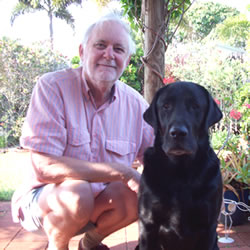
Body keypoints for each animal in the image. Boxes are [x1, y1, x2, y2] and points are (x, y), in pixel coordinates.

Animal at [137, 81, 223, 249]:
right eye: (166, 106)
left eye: (195, 106)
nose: (178, 133)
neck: (181, 172)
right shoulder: (148, 226)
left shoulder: (208, 227)